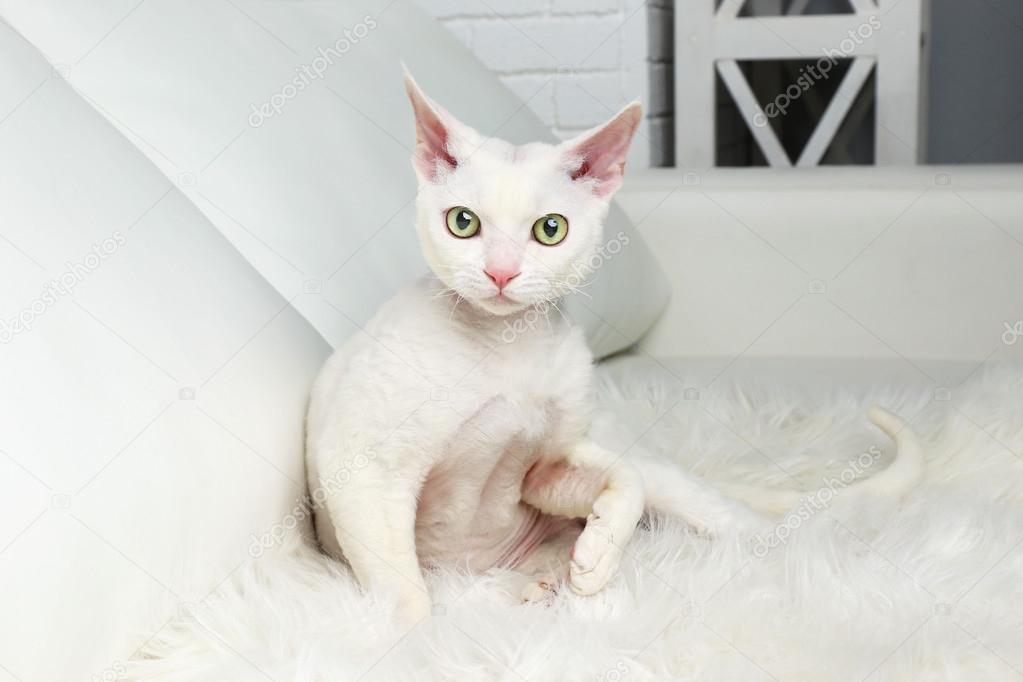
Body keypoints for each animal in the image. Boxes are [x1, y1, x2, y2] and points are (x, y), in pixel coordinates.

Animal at [300, 73, 920, 625]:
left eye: (550, 229)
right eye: (463, 223)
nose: (501, 273)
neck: (506, 348)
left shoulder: (547, 466)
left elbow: (626, 482)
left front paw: (596, 554)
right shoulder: (364, 471)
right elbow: (405, 596)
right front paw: (409, 640)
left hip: (679, 492)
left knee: (747, 524)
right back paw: (542, 583)